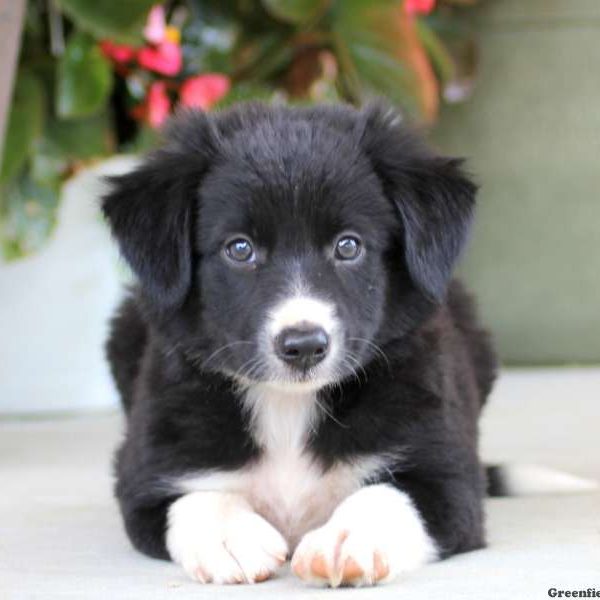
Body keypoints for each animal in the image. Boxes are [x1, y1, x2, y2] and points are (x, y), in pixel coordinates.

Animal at [102, 102, 496, 584]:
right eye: (240, 249)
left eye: (348, 246)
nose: (304, 345)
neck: (288, 405)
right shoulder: (144, 471)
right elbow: (193, 495)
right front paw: (229, 537)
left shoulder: (452, 479)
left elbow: (389, 496)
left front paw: (348, 539)